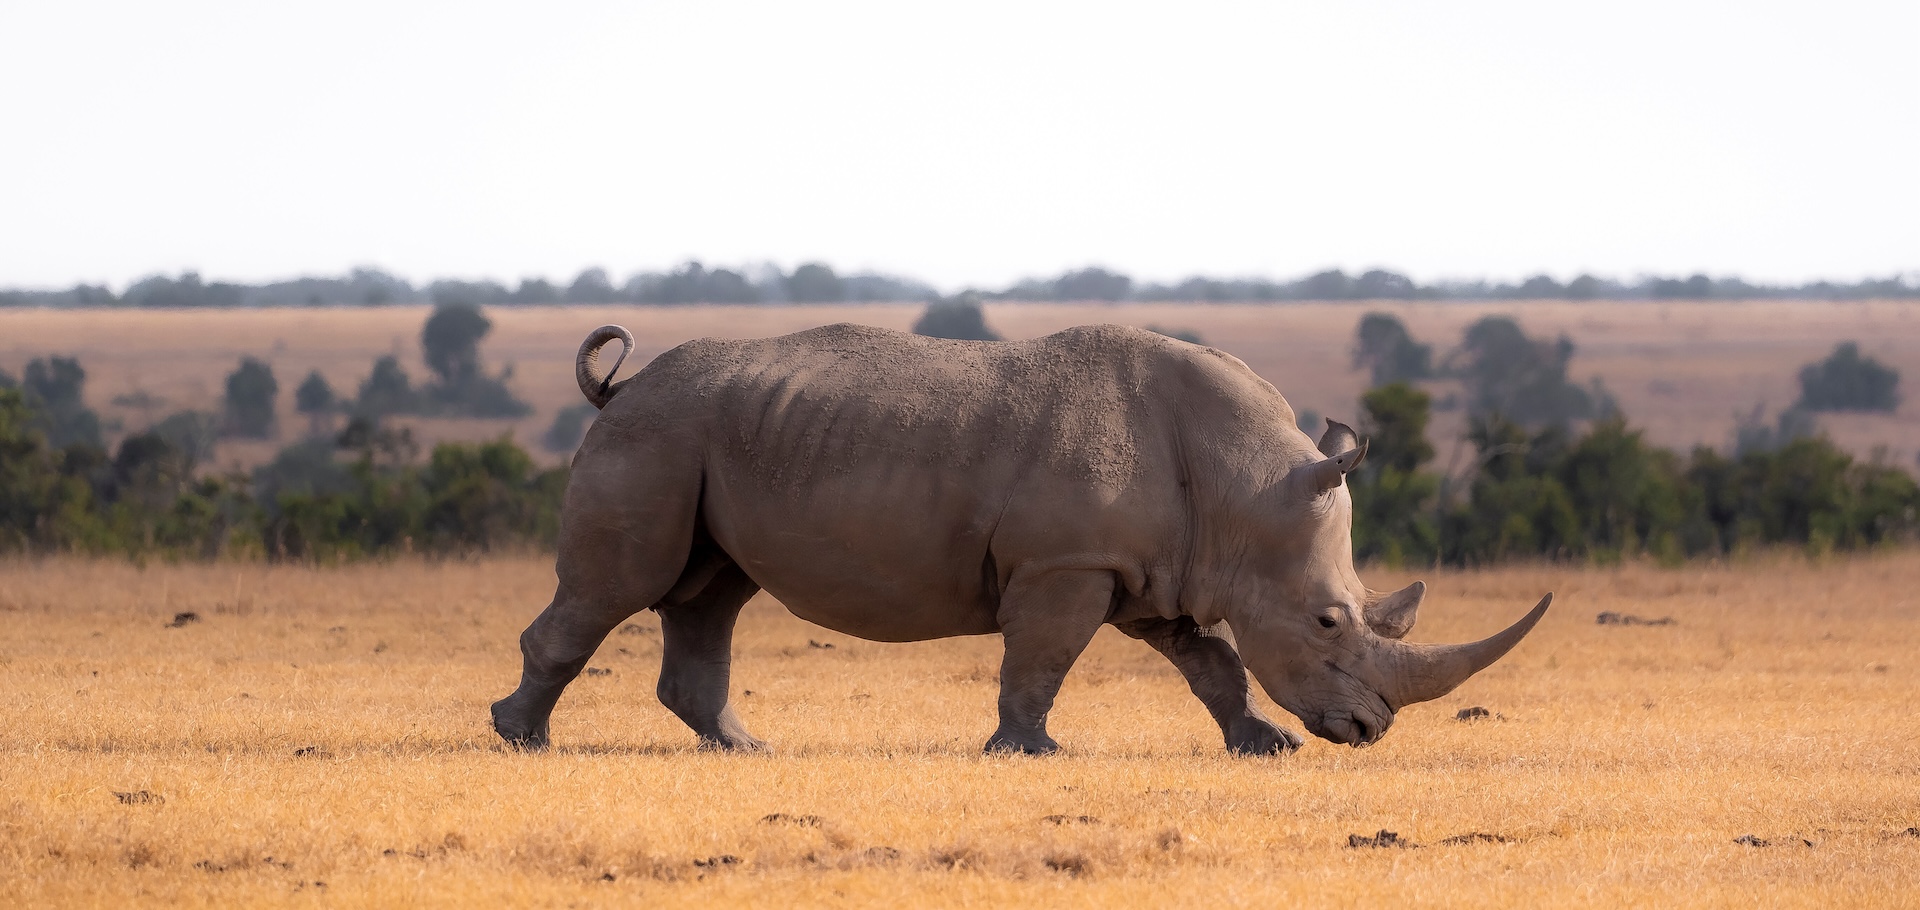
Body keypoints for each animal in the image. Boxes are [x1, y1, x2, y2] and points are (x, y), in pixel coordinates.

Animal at [491, 322, 1550, 754]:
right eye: (1331, 622)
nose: (1370, 731)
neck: (1245, 489)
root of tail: (620, 386)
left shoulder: (1151, 571)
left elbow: (1213, 663)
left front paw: (1264, 747)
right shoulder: (1066, 564)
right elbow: (1039, 659)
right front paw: (1028, 752)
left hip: (707, 436)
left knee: (710, 593)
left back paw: (745, 750)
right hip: (657, 438)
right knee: (620, 588)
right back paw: (523, 740)